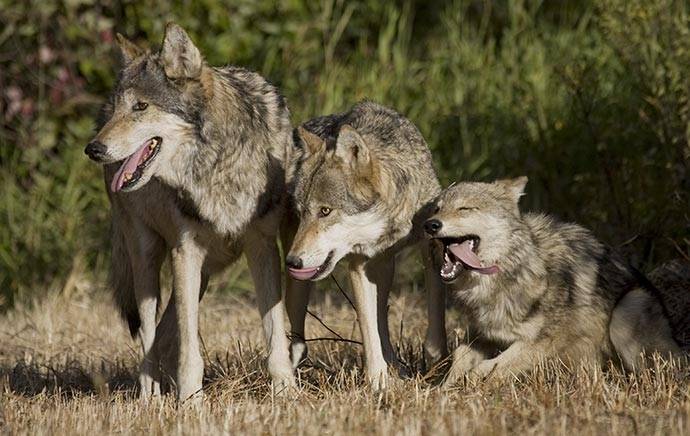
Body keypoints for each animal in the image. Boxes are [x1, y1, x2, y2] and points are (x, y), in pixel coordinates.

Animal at [84, 22, 310, 400]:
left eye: (141, 106)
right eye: (120, 108)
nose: (93, 149)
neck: (218, 163)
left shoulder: (262, 248)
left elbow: (275, 334)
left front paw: (287, 394)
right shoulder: (185, 251)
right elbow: (189, 348)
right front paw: (191, 402)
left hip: (203, 270)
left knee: (163, 332)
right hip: (148, 258)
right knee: (149, 334)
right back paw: (151, 398)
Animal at [284, 101, 446, 388]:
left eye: (325, 211)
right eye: (302, 212)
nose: (292, 261)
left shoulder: (432, 244)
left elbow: (435, 311)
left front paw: (436, 360)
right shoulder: (358, 265)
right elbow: (368, 328)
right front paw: (377, 382)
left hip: (385, 268)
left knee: (382, 317)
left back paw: (397, 366)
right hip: (302, 284)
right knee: (298, 338)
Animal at [422, 177, 680, 384]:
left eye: (464, 208)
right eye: (436, 209)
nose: (430, 224)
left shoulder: (544, 340)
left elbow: (497, 364)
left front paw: (475, 380)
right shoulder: (483, 334)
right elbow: (460, 356)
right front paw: (443, 389)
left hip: (625, 312)